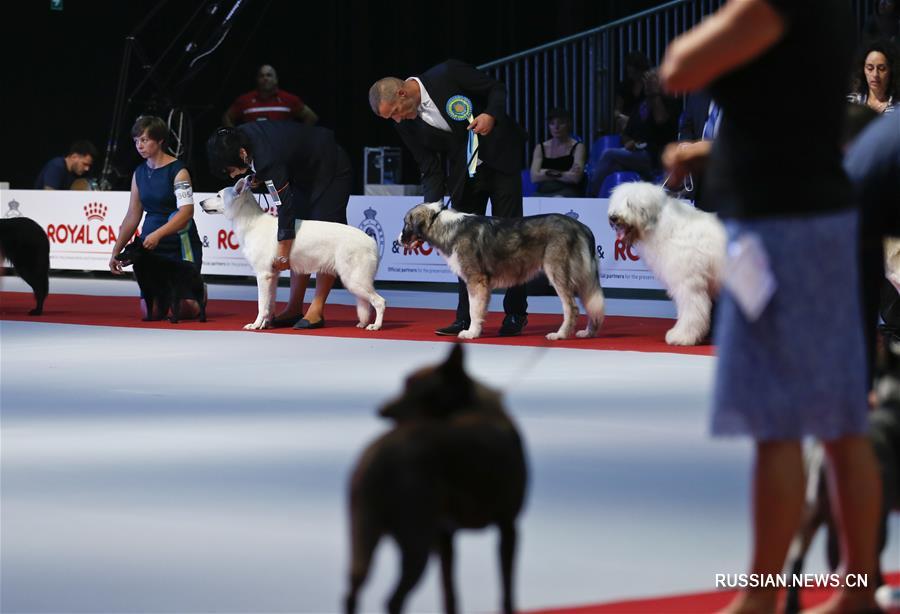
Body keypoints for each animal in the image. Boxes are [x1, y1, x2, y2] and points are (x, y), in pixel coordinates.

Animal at [207, 176, 384, 332]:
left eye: (218, 195)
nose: (201, 202)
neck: (252, 222)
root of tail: (371, 240)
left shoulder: (263, 276)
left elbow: (261, 305)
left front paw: (256, 325)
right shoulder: (273, 276)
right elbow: (269, 304)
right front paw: (265, 324)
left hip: (354, 280)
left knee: (380, 302)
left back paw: (375, 326)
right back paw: (363, 324)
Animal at [344, 346, 528, 614]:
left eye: (411, 386)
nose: (381, 410)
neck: (470, 408)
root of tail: (376, 457)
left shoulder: (446, 537)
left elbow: (450, 594)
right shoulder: (508, 526)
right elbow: (506, 591)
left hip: (364, 530)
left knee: (353, 589)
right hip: (416, 538)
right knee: (393, 598)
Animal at [604, 182, 724, 346]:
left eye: (630, 204)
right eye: (617, 201)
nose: (614, 217)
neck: (665, 227)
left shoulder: (688, 284)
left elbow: (690, 310)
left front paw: (682, 336)